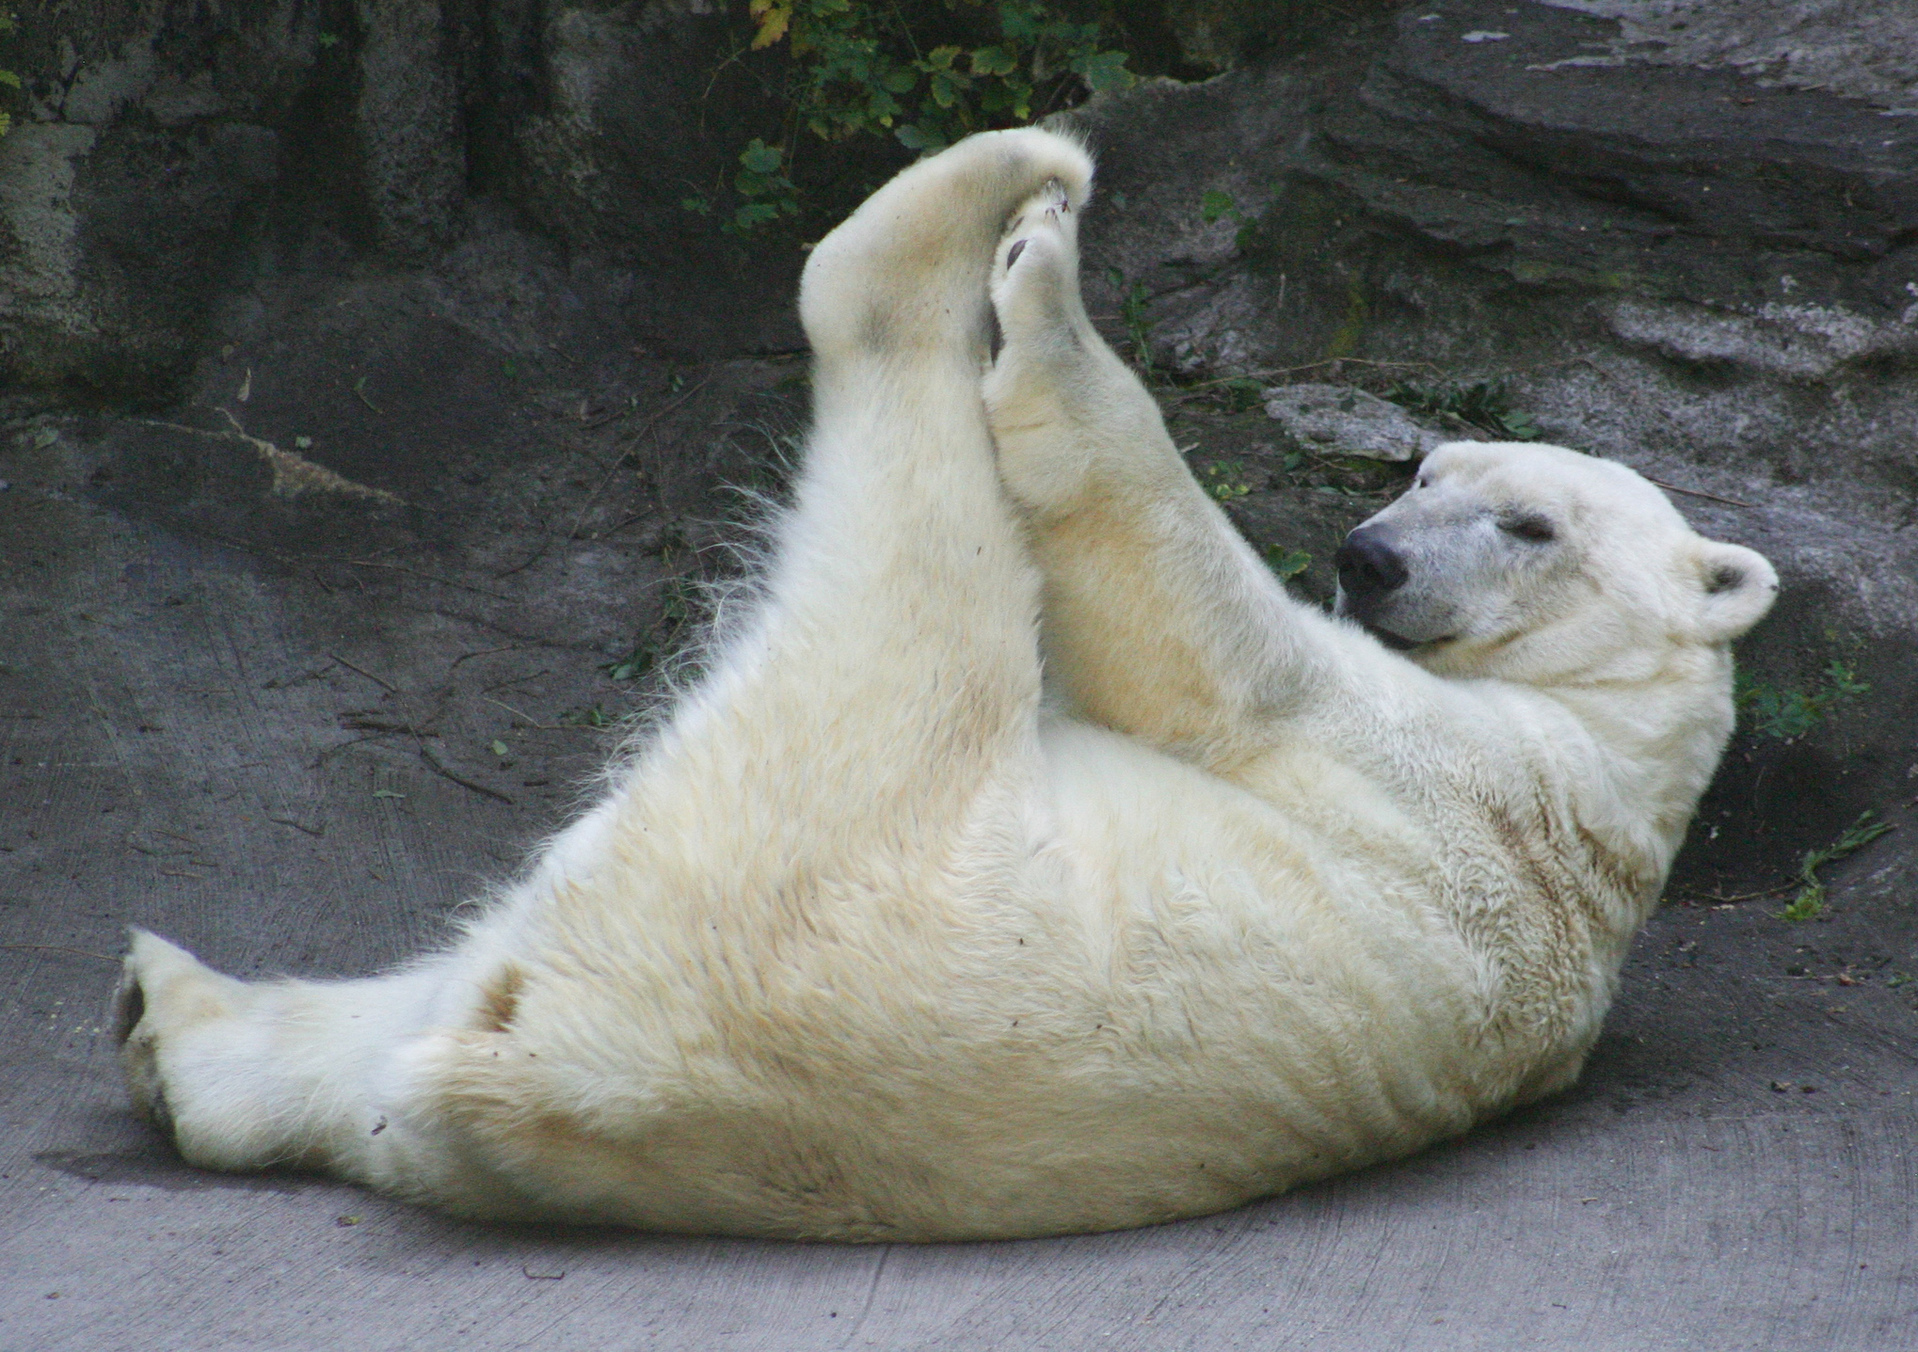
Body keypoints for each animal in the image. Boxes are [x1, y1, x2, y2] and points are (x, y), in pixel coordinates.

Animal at [112, 132, 1772, 1242]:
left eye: (1529, 523)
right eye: (1426, 468)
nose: (1367, 557)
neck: (1622, 757)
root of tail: (550, 1061)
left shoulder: (1457, 770)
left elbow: (1218, 652)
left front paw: (1043, 297)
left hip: (845, 835)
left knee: (909, 539)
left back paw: (992, 203)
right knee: (368, 1047)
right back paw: (171, 1020)